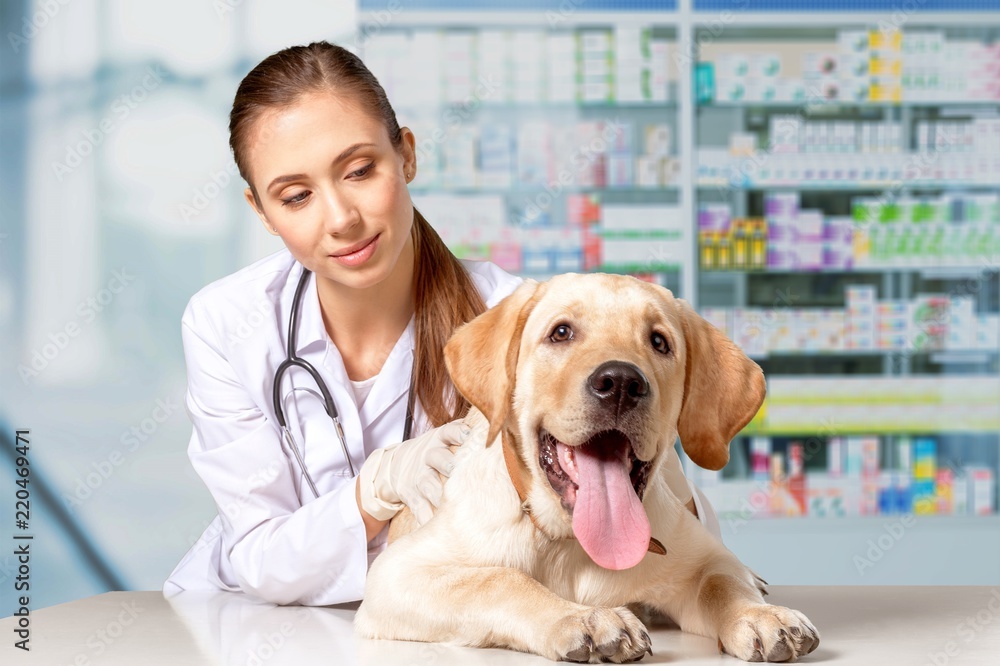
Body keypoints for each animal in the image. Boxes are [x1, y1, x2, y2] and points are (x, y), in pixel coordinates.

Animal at [358, 274, 820, 660]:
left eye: (659, 342)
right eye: (561, 332)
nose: (621, 383)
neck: (569, 544)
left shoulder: (700, 557)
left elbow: (721, 581)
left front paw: (760, 615)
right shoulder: (397, 575)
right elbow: (499, 580)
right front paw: (583, 618)